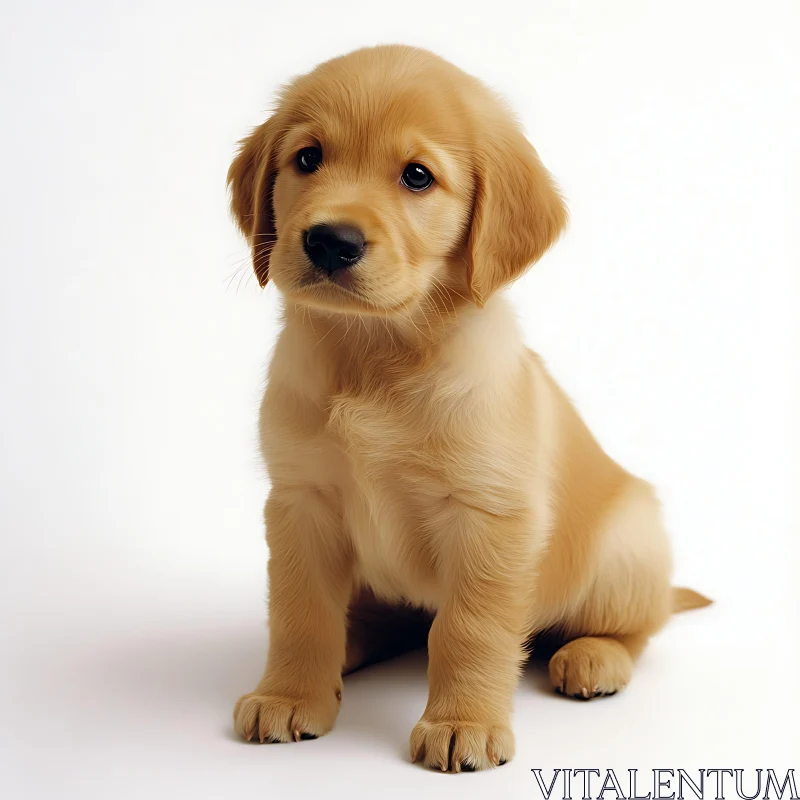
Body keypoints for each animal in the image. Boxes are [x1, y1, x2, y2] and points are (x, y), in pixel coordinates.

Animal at [228, 45, 708, 776]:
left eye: (418, 176)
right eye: (307, 159)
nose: (331, 241)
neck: (375, 356)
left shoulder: (490, 516)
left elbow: (468, 629)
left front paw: (462, 723)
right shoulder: (300, 501)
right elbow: (300, 612)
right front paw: (289, 694)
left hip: (628, 550)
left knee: (635, 627)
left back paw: (593, 657)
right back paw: (353, 643)